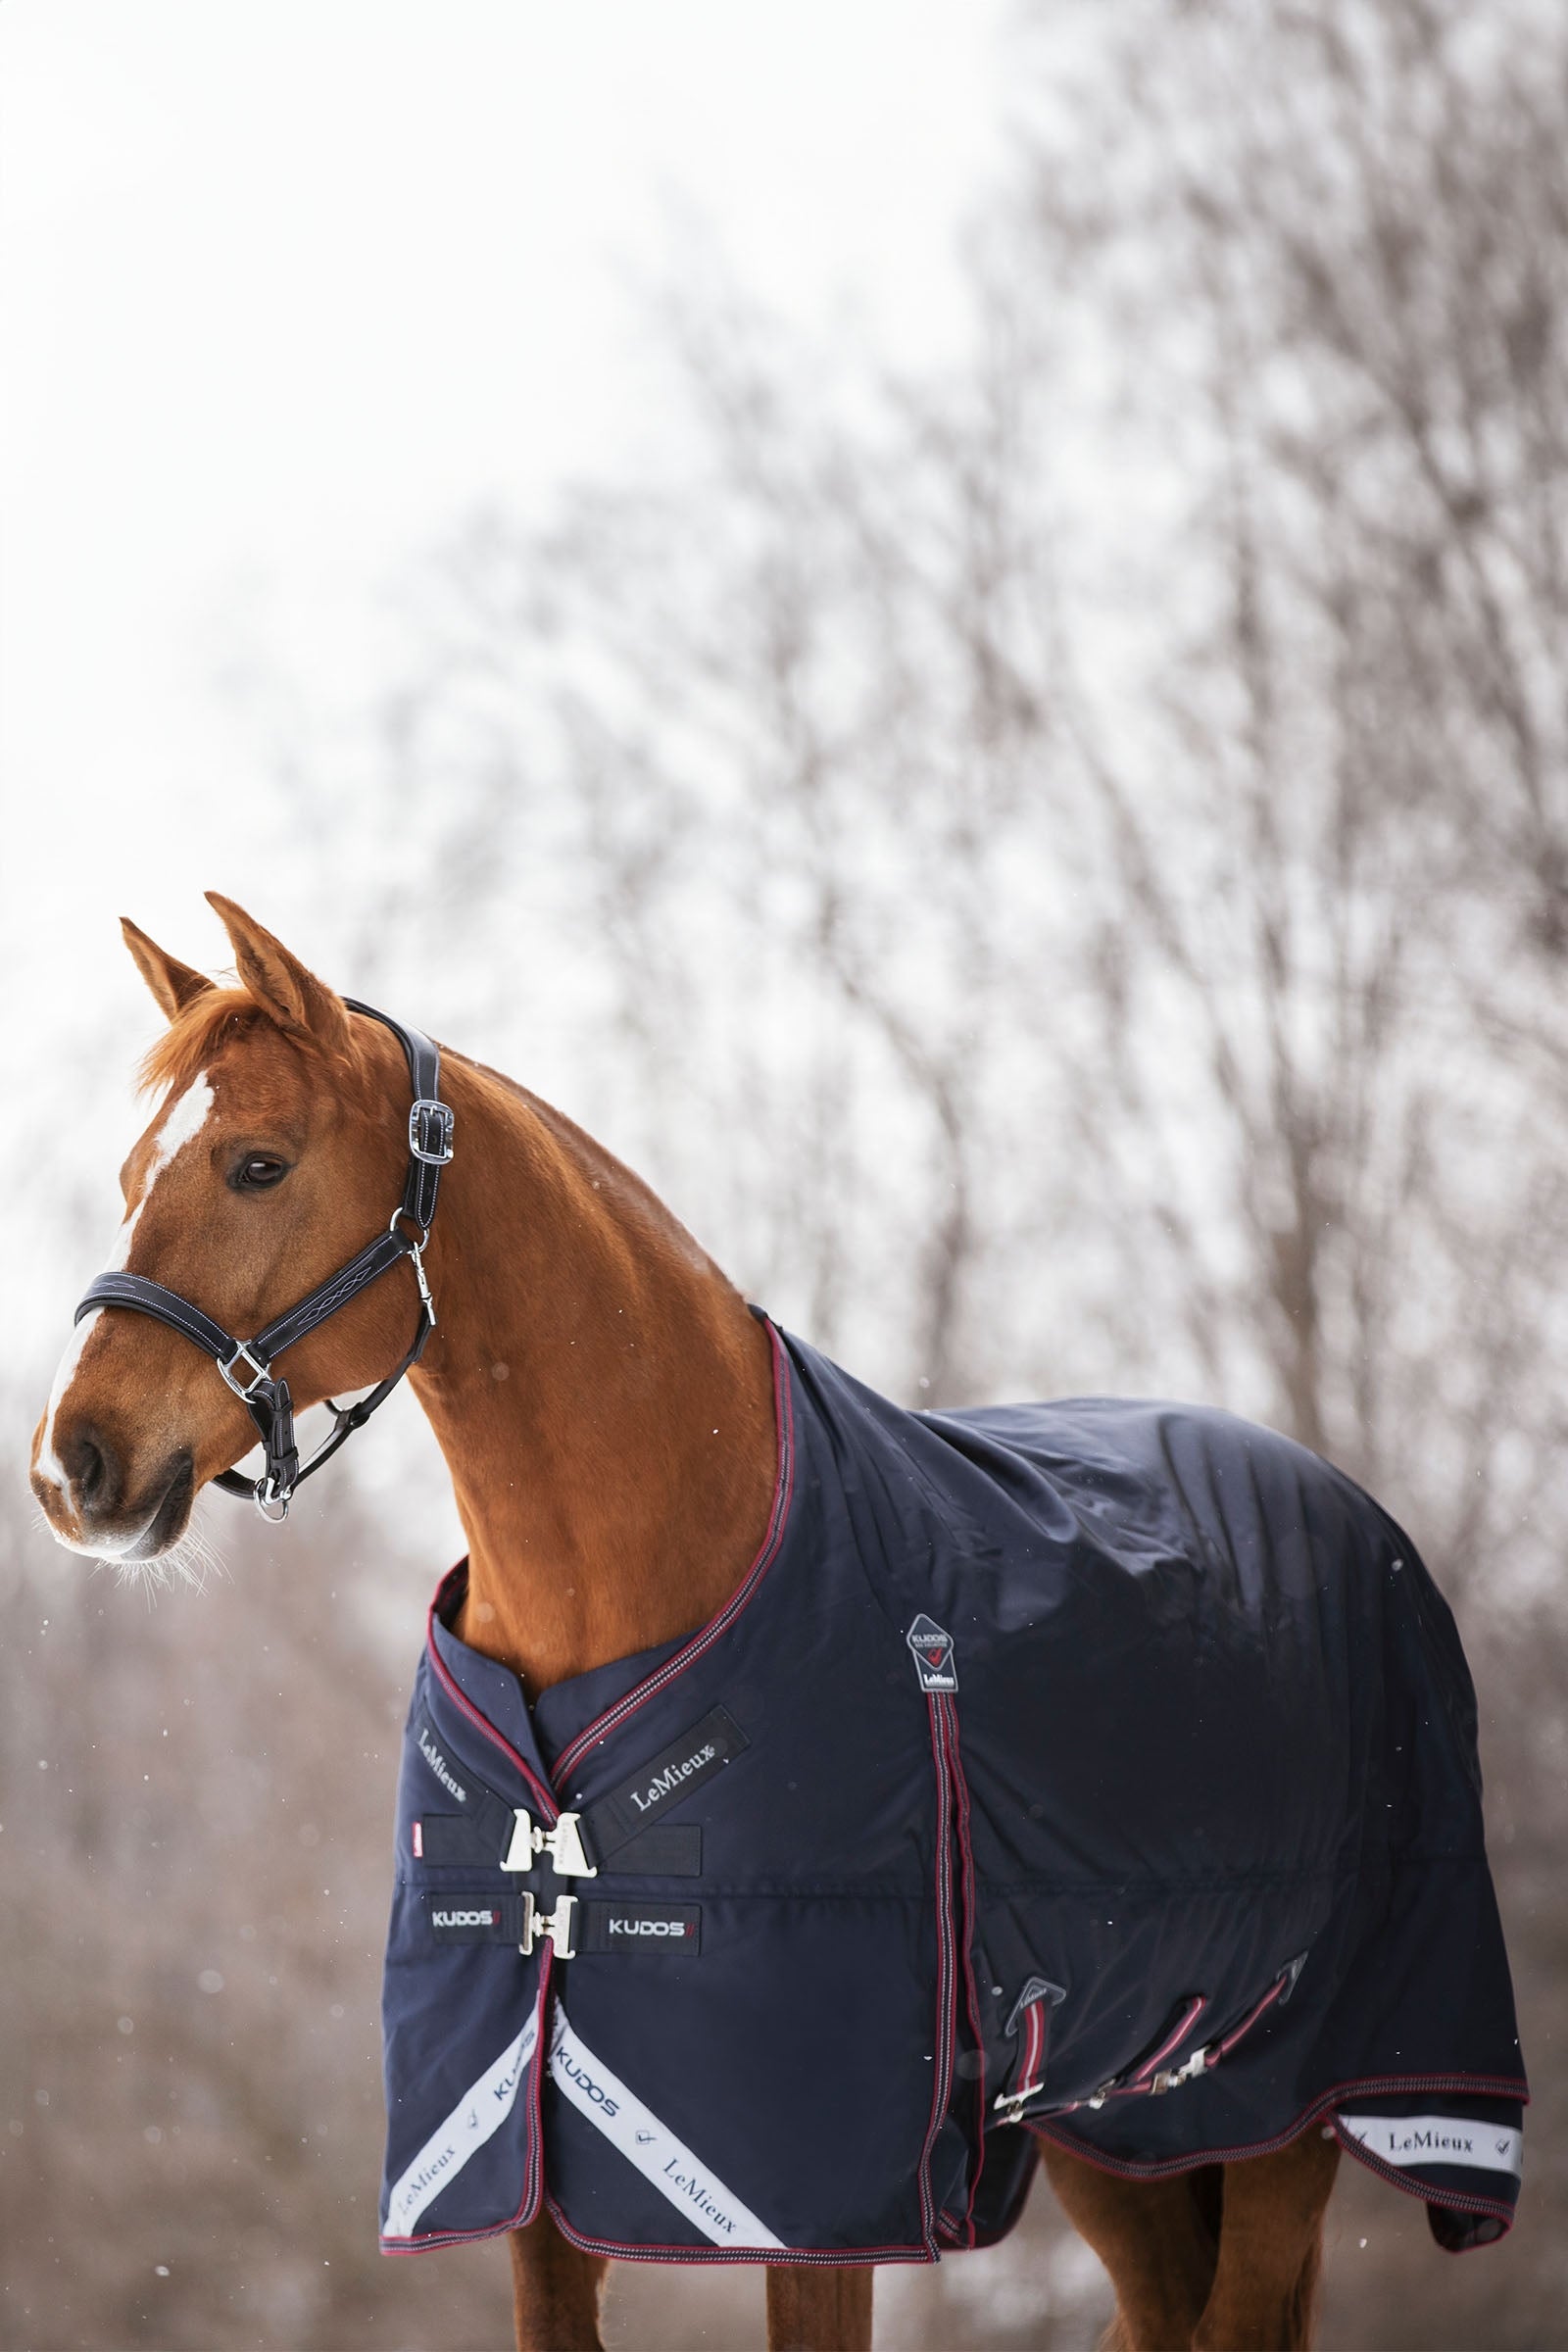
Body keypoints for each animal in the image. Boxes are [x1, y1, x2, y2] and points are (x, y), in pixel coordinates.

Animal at [30, 898, 1520, 2352]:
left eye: (258, 1166)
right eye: (132, 1175)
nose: (70, 1466)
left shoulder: (817, 2205)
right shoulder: (525, 2175)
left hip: (1296, 2110)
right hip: (1123, 2120)